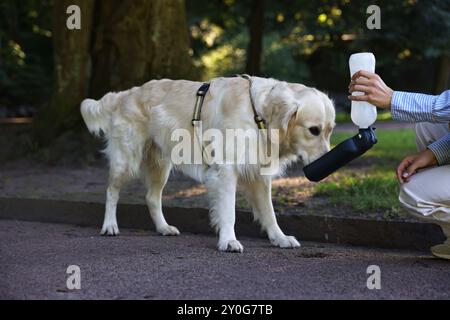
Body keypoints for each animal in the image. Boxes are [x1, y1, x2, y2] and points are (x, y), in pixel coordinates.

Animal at [80, 77, 334, 252]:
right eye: (313, 130)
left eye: (330, 131)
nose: (328, 166)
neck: (258, 114)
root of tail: (126, 93)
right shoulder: (227, 170)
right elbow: (229, 211)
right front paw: (229, 241)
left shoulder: (259, 175)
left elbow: (269, 212)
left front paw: (280, 238)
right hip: (127, 159)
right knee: (111, 191)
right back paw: (110, 226)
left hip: (160, 165)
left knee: (151, 198)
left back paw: (163, 228)